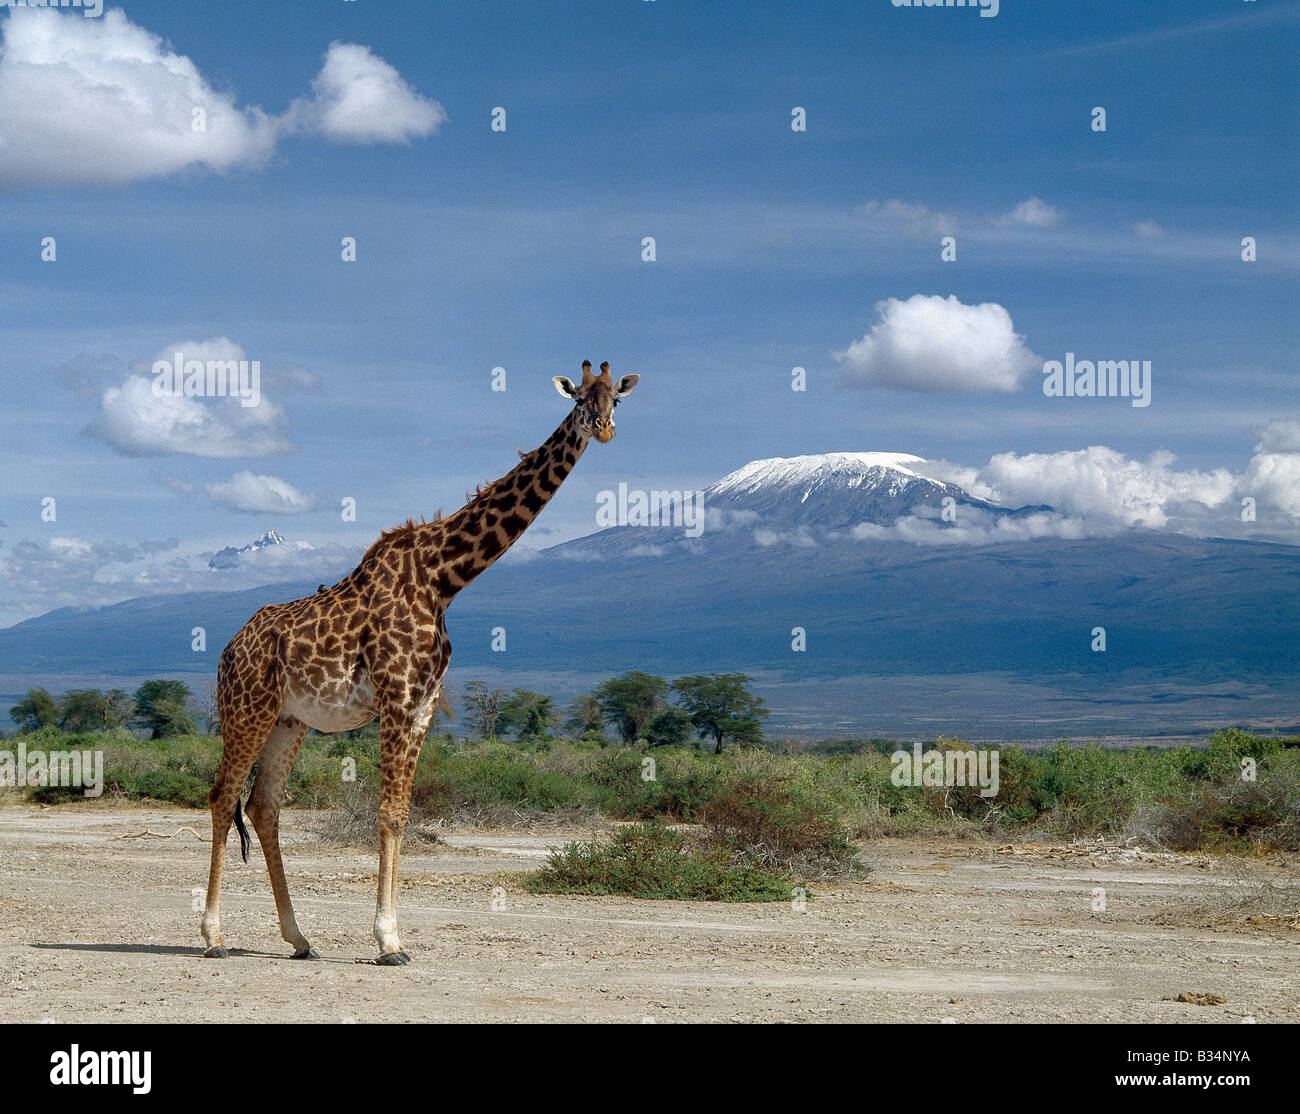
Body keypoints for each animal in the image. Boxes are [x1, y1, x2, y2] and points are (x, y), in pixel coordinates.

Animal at [201, 363, 639, 967]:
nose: (604, 429)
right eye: (577, 400)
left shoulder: (424, 704)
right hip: (247, 711)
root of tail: (227, 650)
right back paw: (213, 936)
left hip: (290, 721)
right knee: (223, 798)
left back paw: (299, 938)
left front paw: (390, 935)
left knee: (264, 807)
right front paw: (388, 941)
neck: (444, 578)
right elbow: (386, 812)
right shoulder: (396, 697)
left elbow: (403, 813)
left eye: (616, 398)